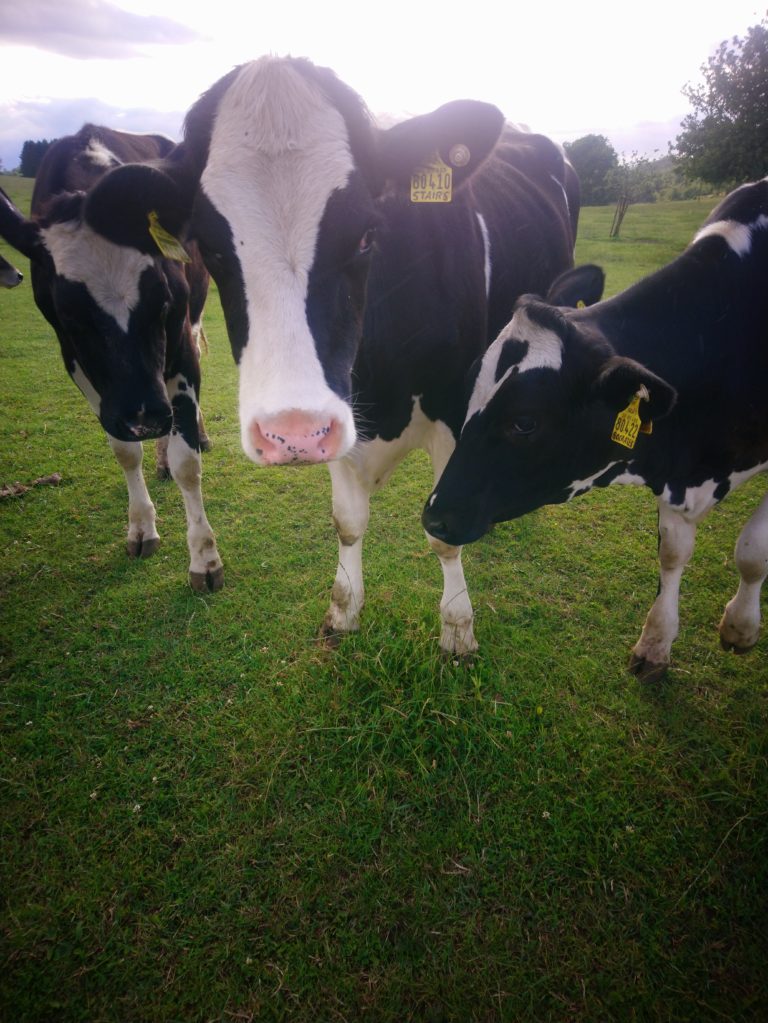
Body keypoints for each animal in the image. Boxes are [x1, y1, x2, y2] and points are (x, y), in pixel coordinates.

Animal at [0, 125, 221, 593]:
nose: (144, 417)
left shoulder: (179, 342)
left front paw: (205, 559)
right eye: (68, 313)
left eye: (162, 299)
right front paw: (140, 528)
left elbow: (188, 463)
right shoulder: (78, 363)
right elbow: (124, 452)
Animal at [156, 53, 584, 646]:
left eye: (365, 234)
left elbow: (442, 534)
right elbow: (348, 522)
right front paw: (343, 609)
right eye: (212, 247)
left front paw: (457, 628)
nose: (289, 433)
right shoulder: (339, 412)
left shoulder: (455, 407)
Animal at [423, 180, 768, 683]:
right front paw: (656, 645)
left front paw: (740, 627)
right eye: (468, 391)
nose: (433, 518)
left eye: (525, 422)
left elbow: (753, 550)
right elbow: (673, 553)